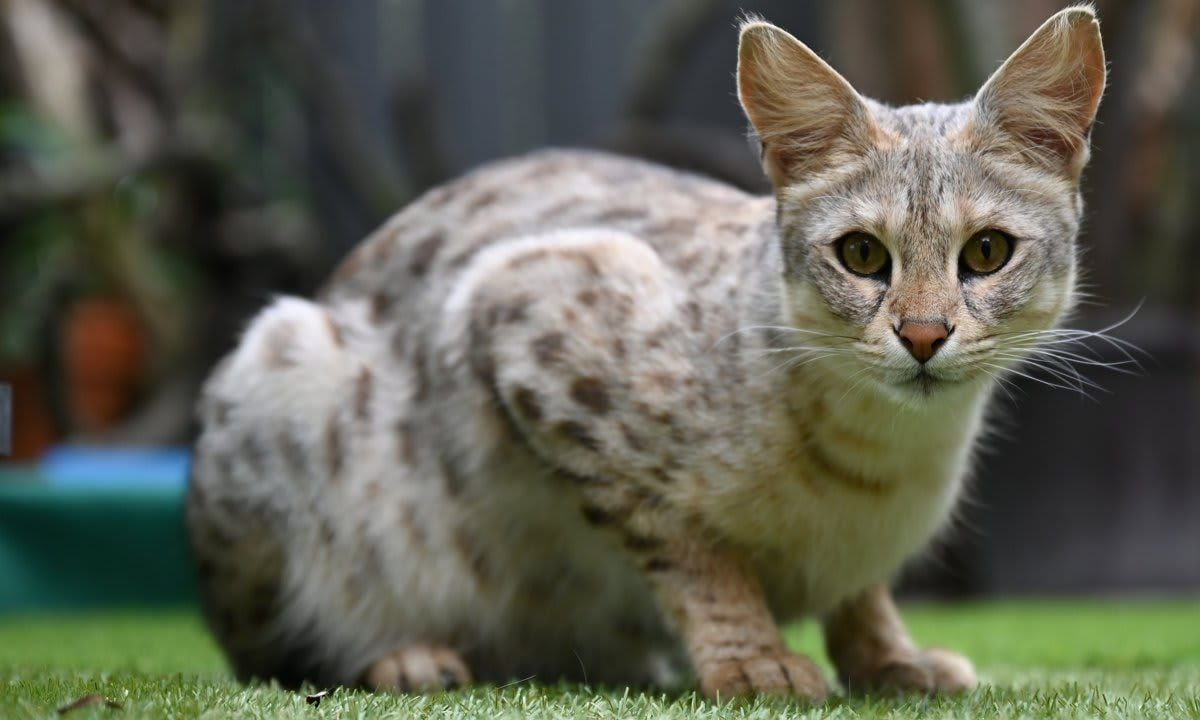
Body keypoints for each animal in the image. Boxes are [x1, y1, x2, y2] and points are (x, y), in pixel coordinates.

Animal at [184, 5, 1104, 700]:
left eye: (986, 252)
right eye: (861, 255)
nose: (921, 334)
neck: (885, 459)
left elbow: (859, 589)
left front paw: (888, 657)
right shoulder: (529, 312)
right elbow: (690, 549)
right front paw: (752, 658)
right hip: (280, 372)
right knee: (270, 655)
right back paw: (404, 656)